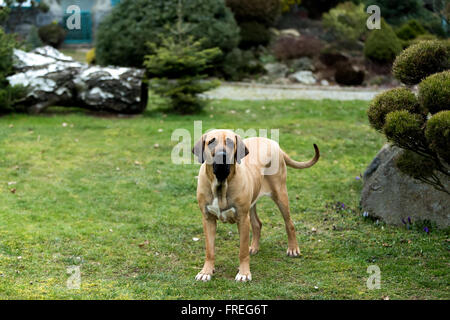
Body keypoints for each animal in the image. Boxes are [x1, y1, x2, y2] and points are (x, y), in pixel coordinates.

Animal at [192, 129, 318, 282]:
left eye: (230, 142)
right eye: (211, 142)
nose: (221, 156)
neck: (221, 183)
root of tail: (274, 143)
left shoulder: (242, 219)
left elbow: (242, 251)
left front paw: (244, 273)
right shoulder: (208, 219)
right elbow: (209, 250)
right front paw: (206, 271)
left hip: (280, 193)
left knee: (289, 223)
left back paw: (293, 248)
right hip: (252, 202)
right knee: (257, 223)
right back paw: (254, 247)